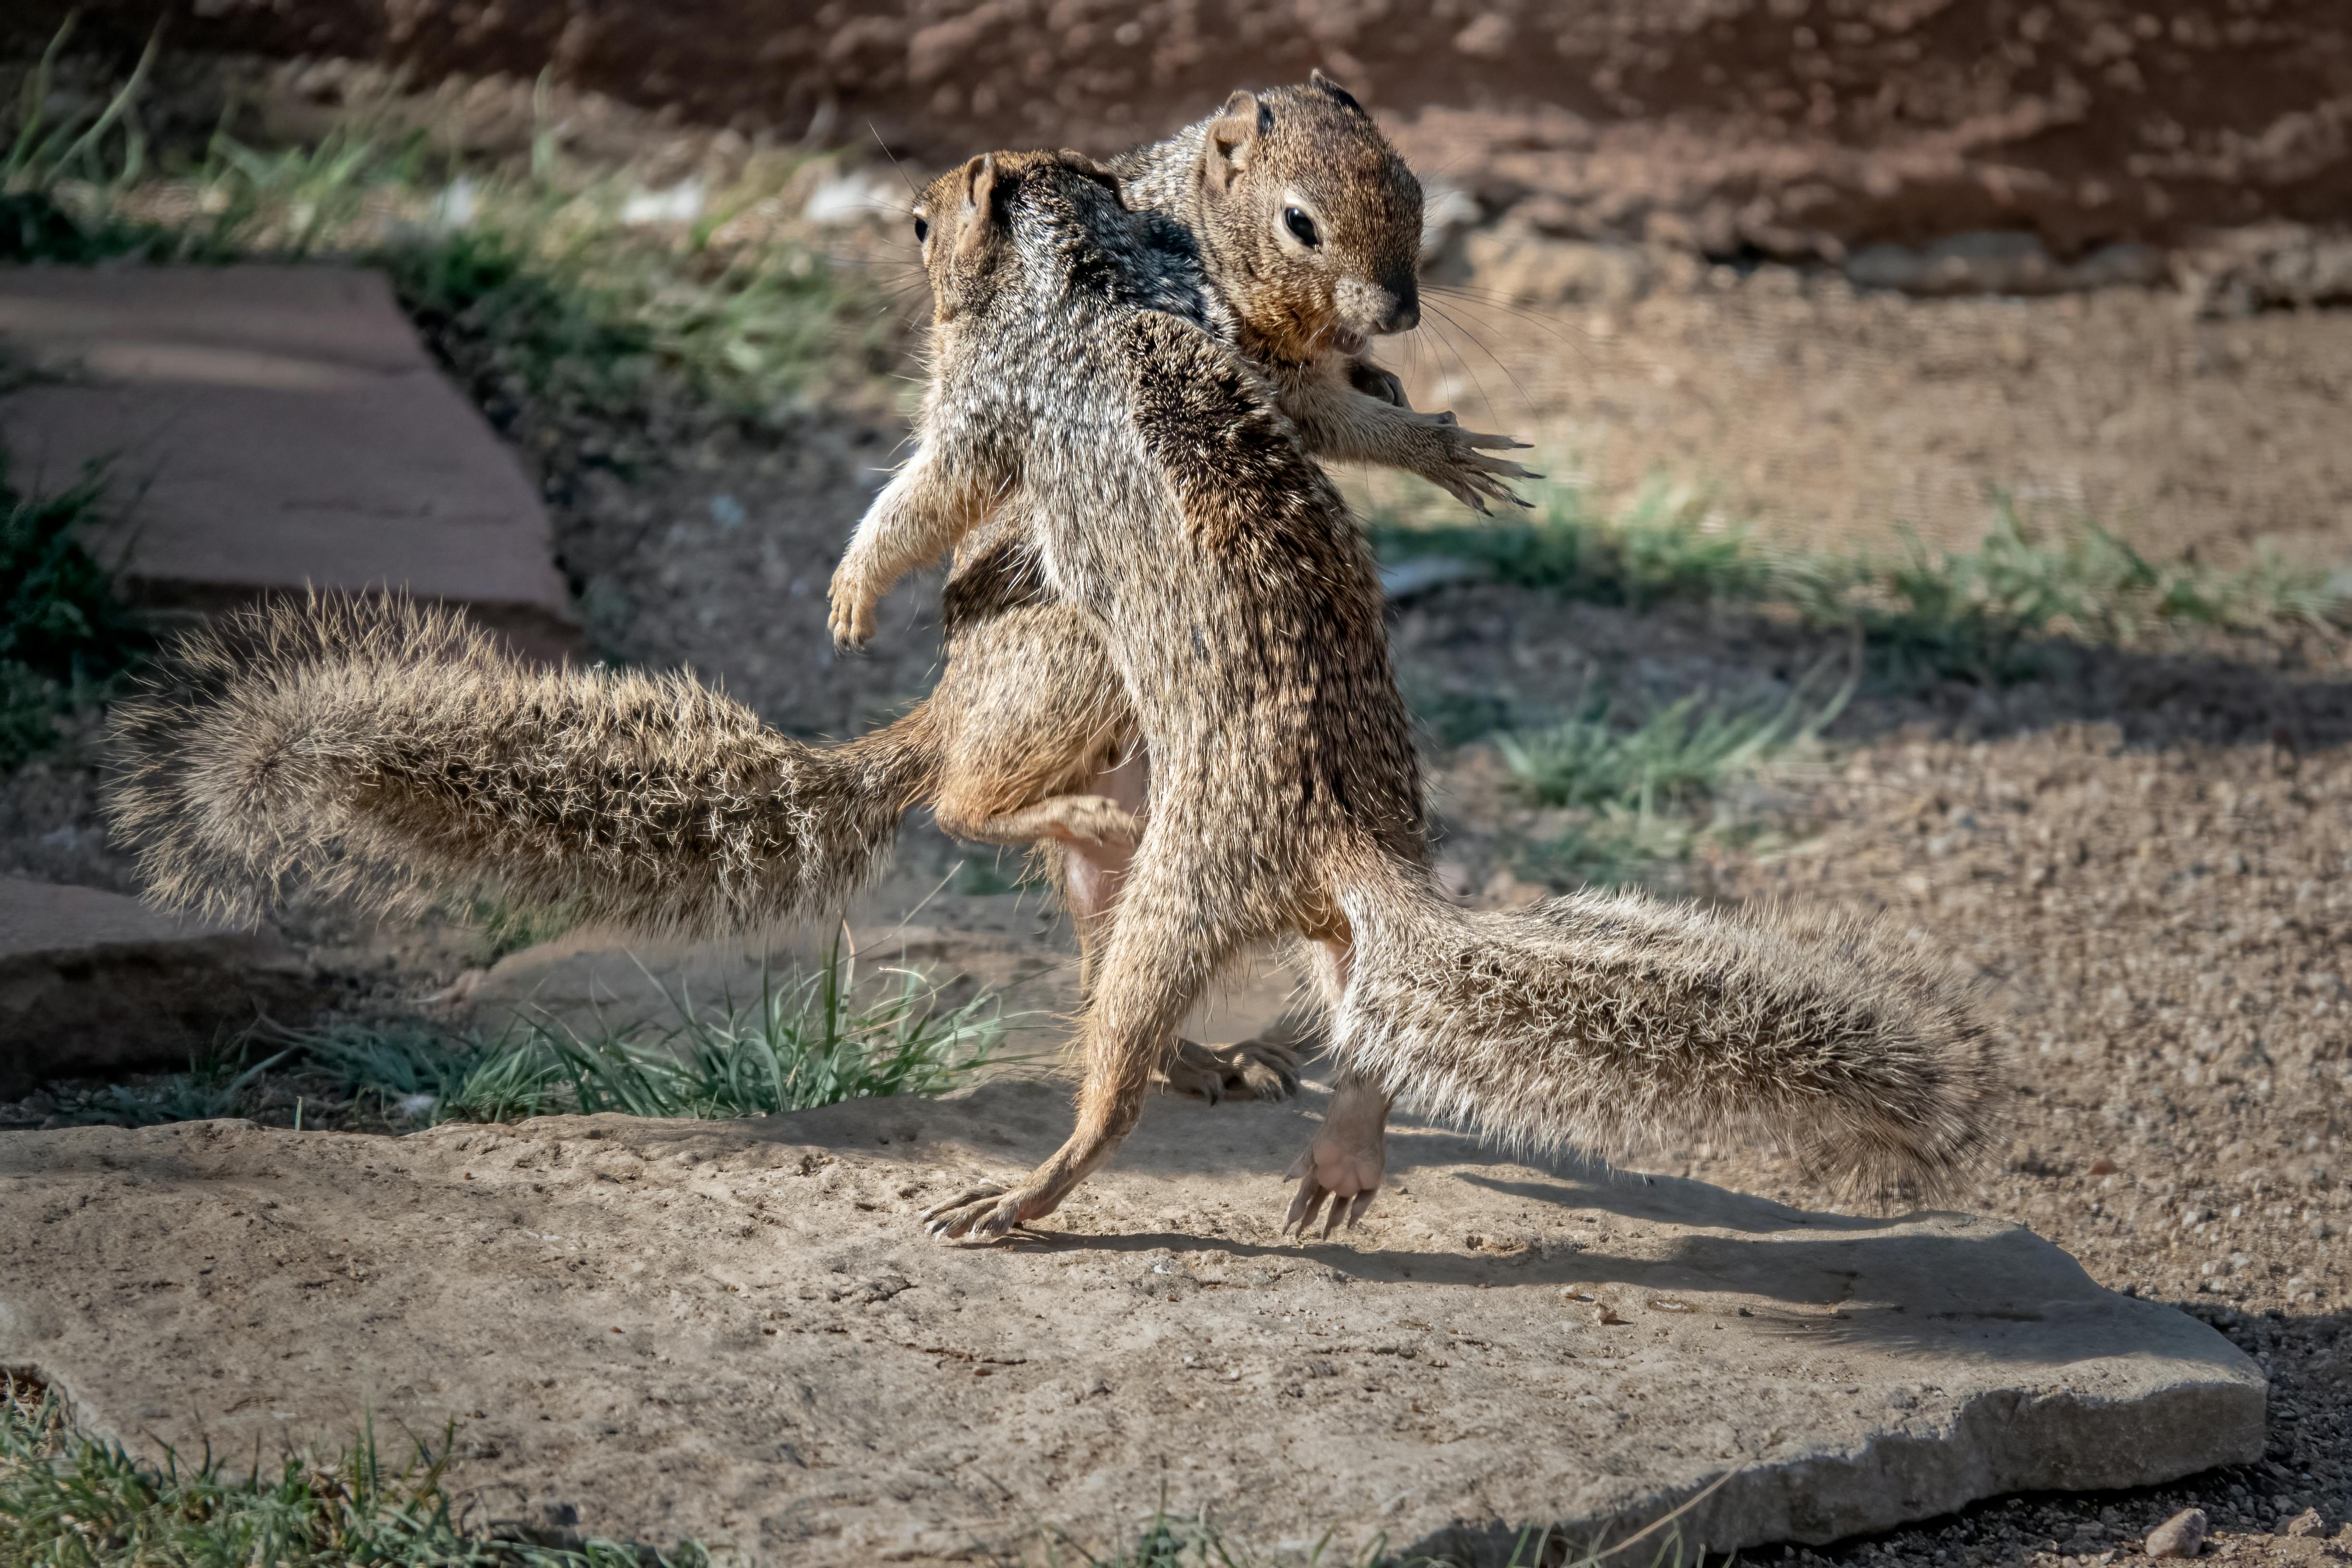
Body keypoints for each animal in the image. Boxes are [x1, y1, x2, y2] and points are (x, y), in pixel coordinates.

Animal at [102, 74, 1527, 1110]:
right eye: (1302, 221)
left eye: (1412, 190)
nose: (1400, 314)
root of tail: (945, 715)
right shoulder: (1213, 356)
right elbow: (1266, 421)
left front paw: (1424, 429)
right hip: (1077, 670)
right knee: (986, 815)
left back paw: (1187, 1052)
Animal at [825, 147, 2001, 1244]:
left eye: (926, 219)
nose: (908, 223)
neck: (1092, 273)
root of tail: (1351, 839)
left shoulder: (982, 404)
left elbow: (924, 498)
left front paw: (851, 596)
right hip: (1312, 917)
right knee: (1365, 1023)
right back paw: (1342, 1155)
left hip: (1174, 897)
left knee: (1111, 1056)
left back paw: (1028, 1183)